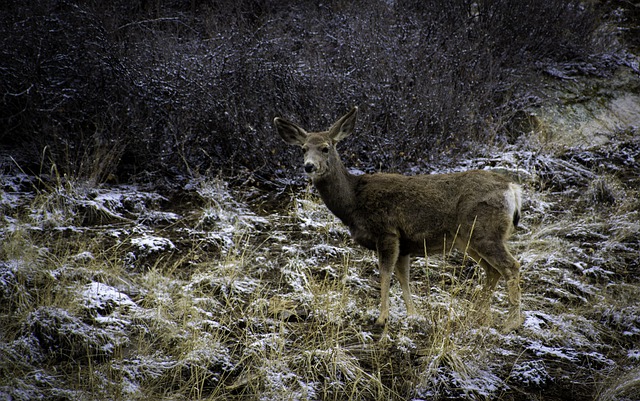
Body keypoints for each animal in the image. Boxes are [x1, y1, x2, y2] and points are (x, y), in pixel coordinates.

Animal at [272, 106, 524, 332]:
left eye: (325, 148)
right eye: (303, 149)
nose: (309, 166)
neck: (353, 201)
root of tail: (512, 189)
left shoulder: (387, 232)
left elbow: (385, 275)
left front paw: (382, 318)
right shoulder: (405, 245)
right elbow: (404, 278)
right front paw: (413, 315)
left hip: (484, 231)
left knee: (511, 266)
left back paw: (511, 323)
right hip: (468, 239)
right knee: (493, 270)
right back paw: (477, 316)